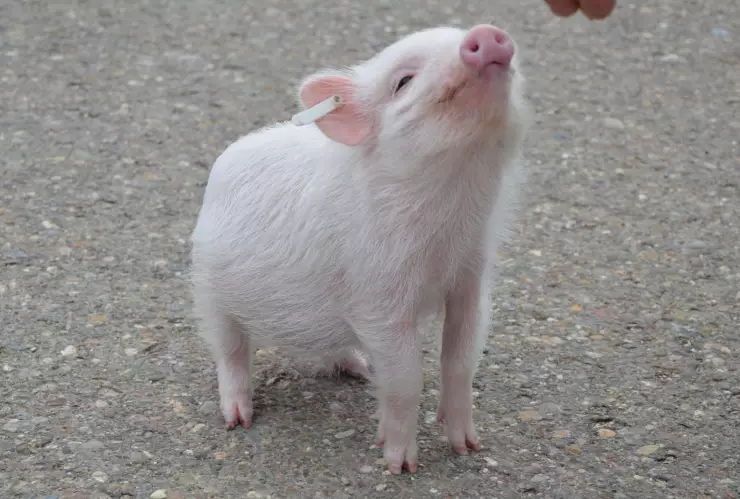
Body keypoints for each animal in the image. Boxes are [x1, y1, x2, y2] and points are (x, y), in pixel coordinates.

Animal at [189, 23, 532, 474]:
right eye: (403, 81)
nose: (487, 33)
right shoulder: (378, 297)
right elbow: (406, 379)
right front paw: (400, 466)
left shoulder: (471, 278)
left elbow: (461, 360)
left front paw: (468, 448)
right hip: (207, 286)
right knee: (228, 349)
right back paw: (238, 419)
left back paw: (361, 369)